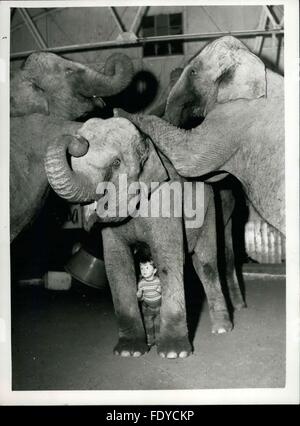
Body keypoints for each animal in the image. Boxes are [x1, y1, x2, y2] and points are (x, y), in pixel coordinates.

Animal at [45, 117, 246, 360]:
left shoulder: (165, 198)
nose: (77, 140)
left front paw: (174, 353)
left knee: (206, 263)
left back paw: (222, 329)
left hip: (208, 211)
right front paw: (128, 351)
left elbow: (167, 257)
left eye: (116, 163)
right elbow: (116, 263)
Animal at [113, 35, 284, 236]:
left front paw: (121, 113)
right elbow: (212, 175)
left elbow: (188, 160)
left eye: (193, 72)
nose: (174, 73)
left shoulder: (231, 117)